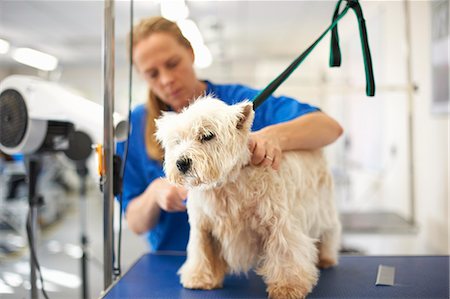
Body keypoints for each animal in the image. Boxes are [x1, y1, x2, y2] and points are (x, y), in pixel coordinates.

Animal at [156, 96, 342, 299]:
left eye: (207, 136)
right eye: (177, 140)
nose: (181, 163)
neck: (226, 183)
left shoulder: (279, 224)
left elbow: (286, 253)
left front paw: (288, 287)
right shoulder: (203, 226)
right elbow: (201, 251)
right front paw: (199, 278)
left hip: (323, 206)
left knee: (330, 229)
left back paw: (326, 257)